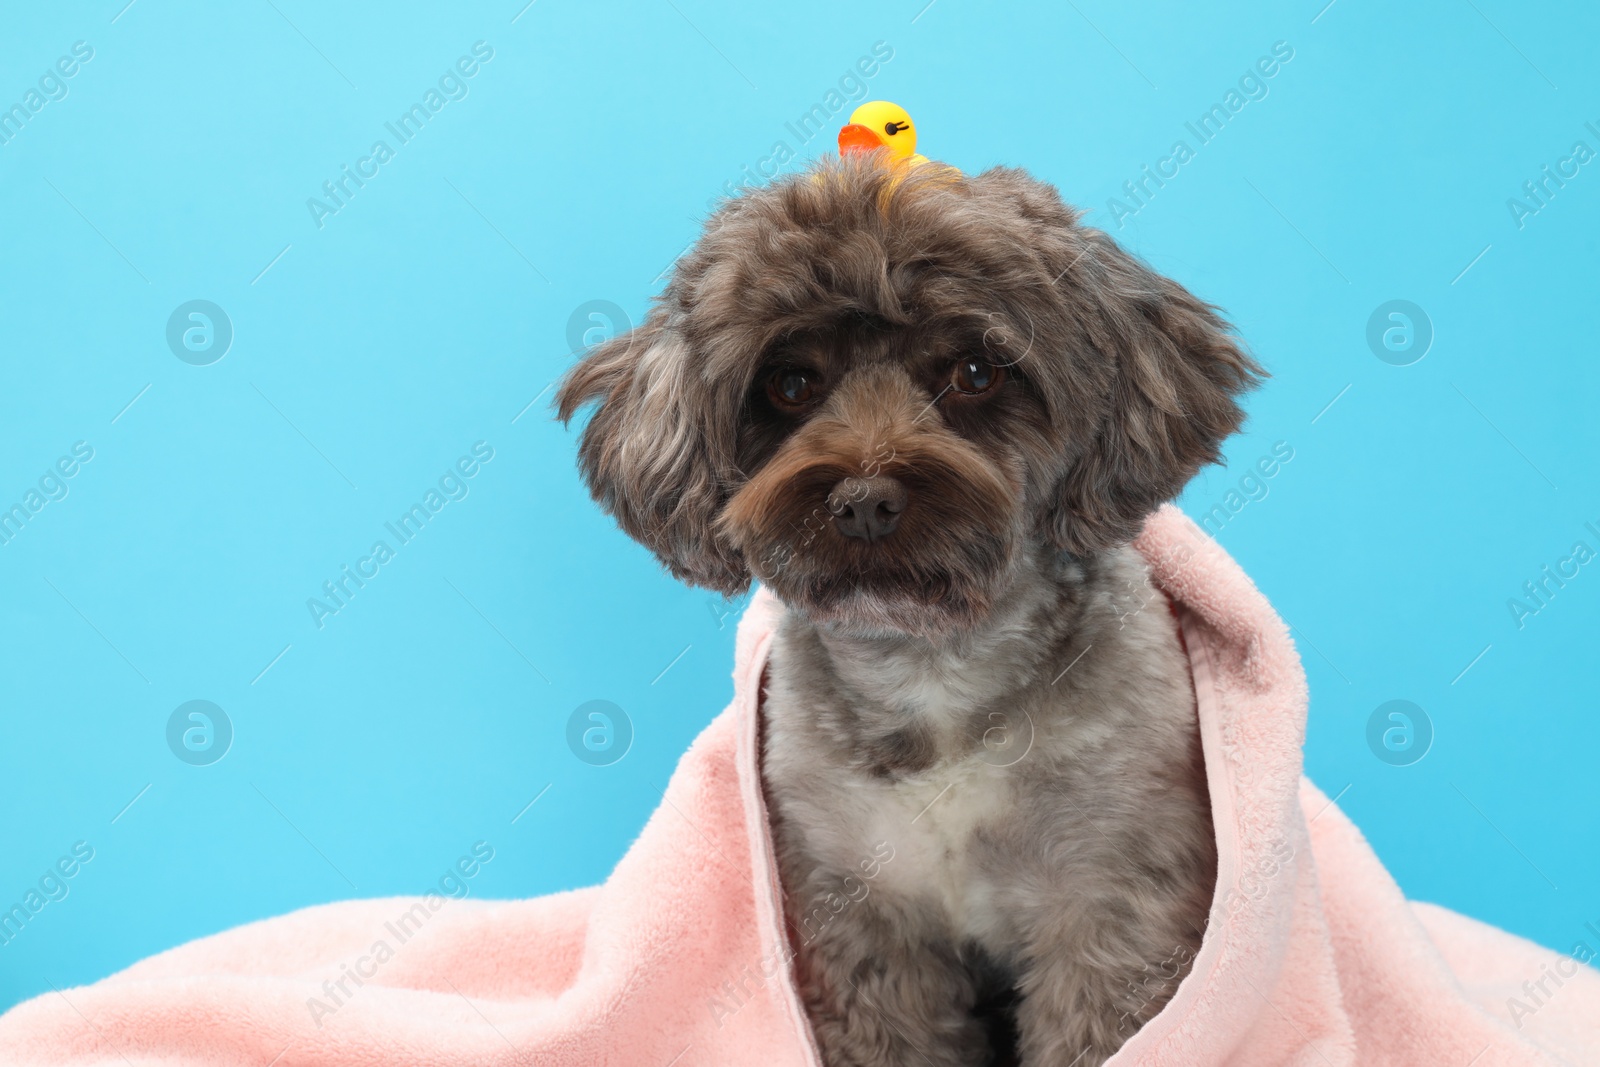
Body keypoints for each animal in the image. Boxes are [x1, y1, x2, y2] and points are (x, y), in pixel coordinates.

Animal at [560, 151, 1260, 1067]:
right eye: (791, 382)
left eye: (976, 372)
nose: (862, 501)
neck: (937, 676)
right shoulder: (860, 925)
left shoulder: (1112, 912)